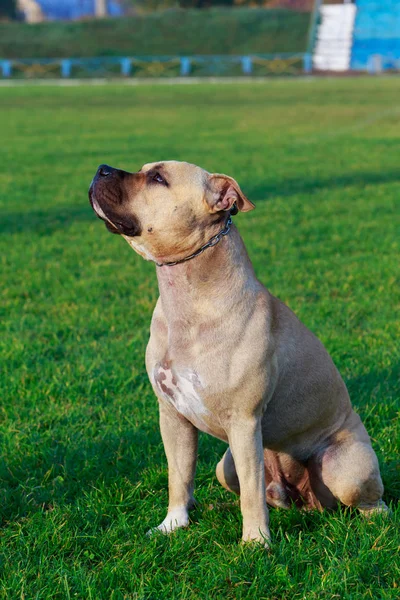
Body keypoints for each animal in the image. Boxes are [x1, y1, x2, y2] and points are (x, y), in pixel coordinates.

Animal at [88, 159, 388, 544]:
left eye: (157, 177)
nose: (102, 168)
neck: (187, 301)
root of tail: (309, 504)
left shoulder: (244, 422)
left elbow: (251, 492)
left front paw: (256, 543)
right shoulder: (172, 417)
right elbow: (179, 476)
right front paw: (173, 524)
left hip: (342, 469)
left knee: (367, 501)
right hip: (225, 465)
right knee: (264, 493)